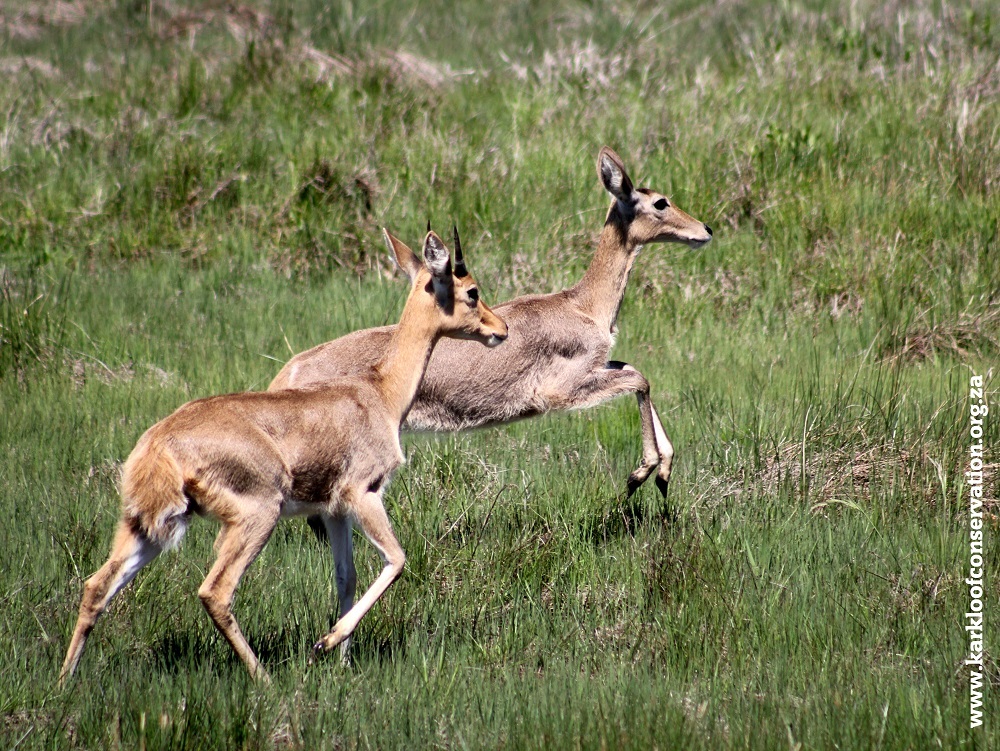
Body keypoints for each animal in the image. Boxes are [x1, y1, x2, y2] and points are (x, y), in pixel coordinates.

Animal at [60, 229, 508, 680]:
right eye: (472, 291)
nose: (500, 329)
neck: (380, 392)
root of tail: (159, 443)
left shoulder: (334, 511)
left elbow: (346, 577)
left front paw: (341, 662)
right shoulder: (364, 494)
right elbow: (396, 559)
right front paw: (324, 643)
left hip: (148, 526)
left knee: (97, 585)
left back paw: (65, 681)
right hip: (257, 516)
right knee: (215, 591)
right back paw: (265, 678)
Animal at [272, 147, 712, 500]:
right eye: (660, 202)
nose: (705, 230)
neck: (584, 306)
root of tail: (286, 373)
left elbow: (635, 368)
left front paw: (663, 471)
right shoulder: (559, 392)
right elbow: (640, 378)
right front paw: (642, 474)